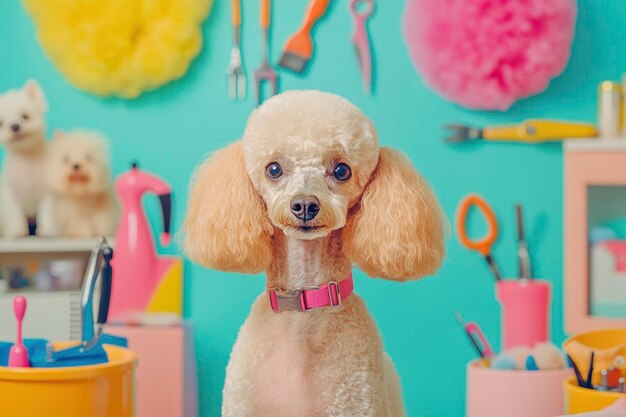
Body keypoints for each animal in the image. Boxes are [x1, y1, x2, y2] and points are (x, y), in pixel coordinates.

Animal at [0, 79, 48, 236]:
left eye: (25, 116)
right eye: (1, 123)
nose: (15, 126)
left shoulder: (47, 193)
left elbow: (47, 212)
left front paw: (47, 230)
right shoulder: (12, 194)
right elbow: (15, 213)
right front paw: (17, 231)